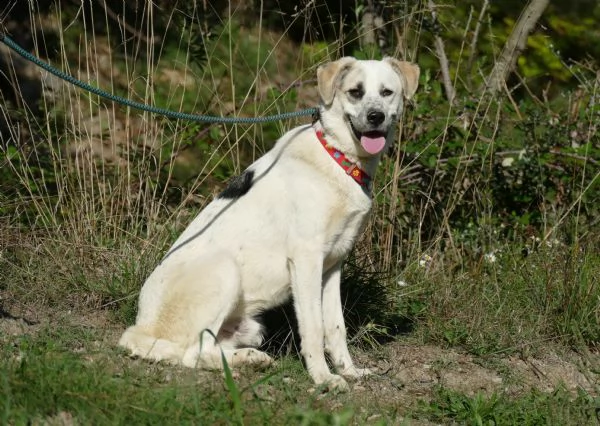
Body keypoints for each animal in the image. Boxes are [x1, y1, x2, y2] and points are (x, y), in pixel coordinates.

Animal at [117, 55, 418, 390]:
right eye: (355, 92)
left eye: (387, 92)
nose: (376, 117)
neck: (338, 158)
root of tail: (141, 327)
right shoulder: (306, 261)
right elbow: (314, 328)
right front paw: (323, 377)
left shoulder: (332, 266)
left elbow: (336, 328)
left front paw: (349, 371)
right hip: (224, 270)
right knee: (191, 353)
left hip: (251, 327)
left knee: (210, 347)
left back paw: (250, 358)